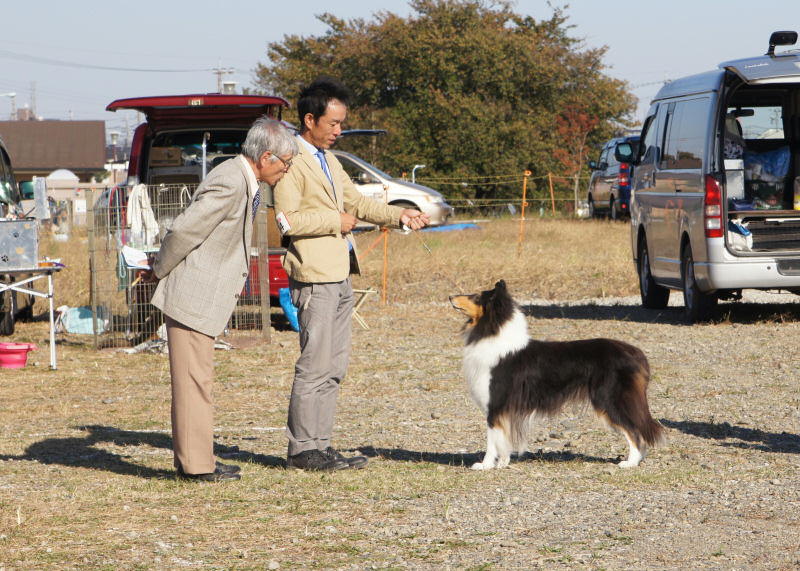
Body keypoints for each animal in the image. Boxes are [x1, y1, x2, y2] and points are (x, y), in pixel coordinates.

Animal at [450, 280, 664, 472]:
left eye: (476, 297)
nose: (450, 297)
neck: (493, 332)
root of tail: (635, 352)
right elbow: (503, 439)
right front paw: (502, 463)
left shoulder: (495, 404)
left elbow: (492, 440)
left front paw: (485, 465)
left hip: (609, 400)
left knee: (634, 430)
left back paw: (630, 462)